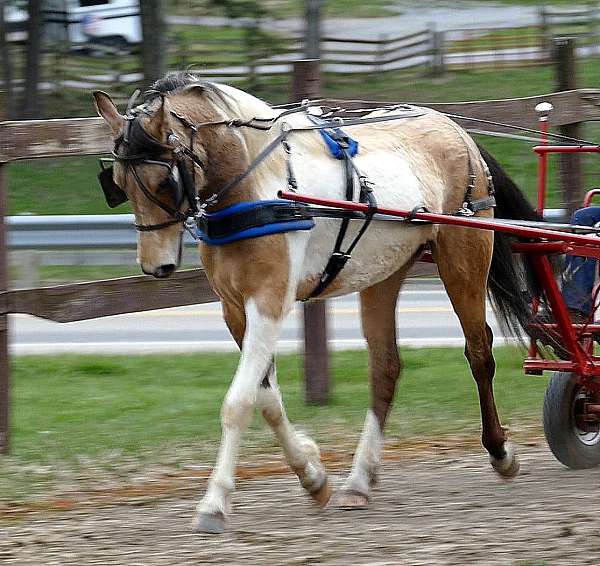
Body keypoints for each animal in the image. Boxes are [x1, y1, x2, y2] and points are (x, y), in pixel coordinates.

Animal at [94, 72, 540, 536]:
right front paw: (313, 475)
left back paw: (500, 452)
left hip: (463, 258)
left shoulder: (270, 302)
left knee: (478, 352)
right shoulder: (235, 310)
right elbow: (267, 400)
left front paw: (214, 503)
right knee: (386, 368)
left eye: (164, 182)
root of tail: (455, 130)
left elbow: (238, 402)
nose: (156, 266)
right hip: (384, 274)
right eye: (120, 185)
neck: (258, 184)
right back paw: (358, 481)